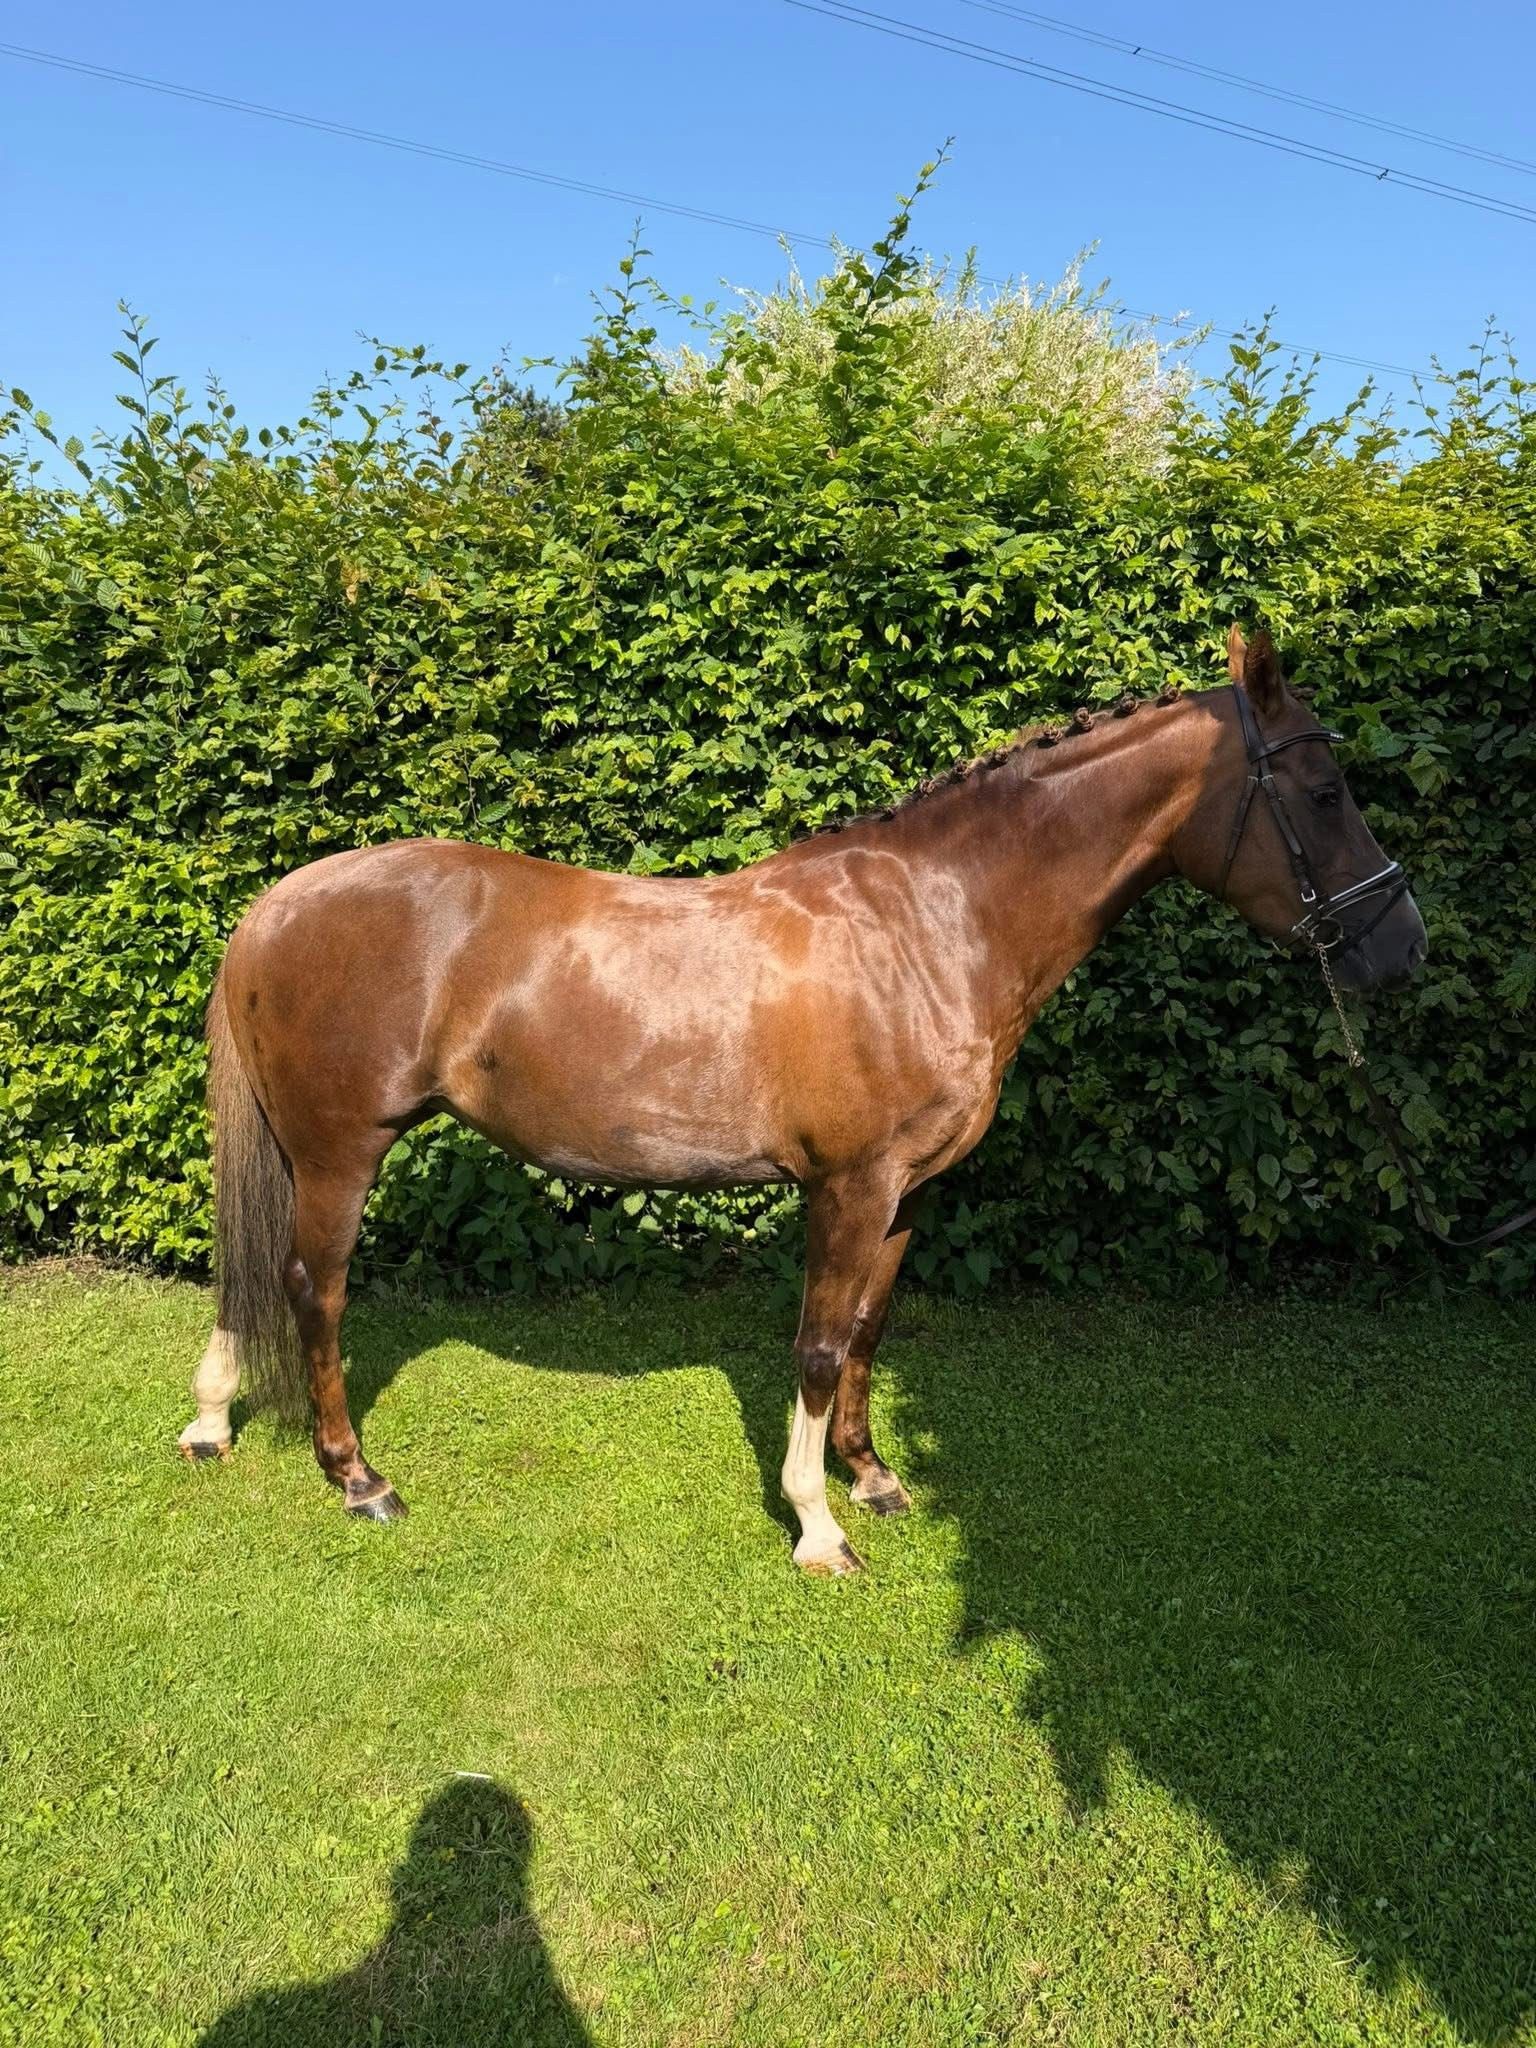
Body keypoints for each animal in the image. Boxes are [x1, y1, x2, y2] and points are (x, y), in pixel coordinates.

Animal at [178, 626, 1427, 1573]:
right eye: (1324, 790)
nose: (1400, 943)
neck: (929, 924)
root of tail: (278, 903)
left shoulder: (907, 1191)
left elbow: (869, 1327)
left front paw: (873, 1476)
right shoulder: (848, 1185)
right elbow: (820, 1344)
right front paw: (819, 1525)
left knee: (251, 1272)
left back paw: (211, 1421)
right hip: (342, 1151)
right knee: (314, 1287)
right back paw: (357, 1476)